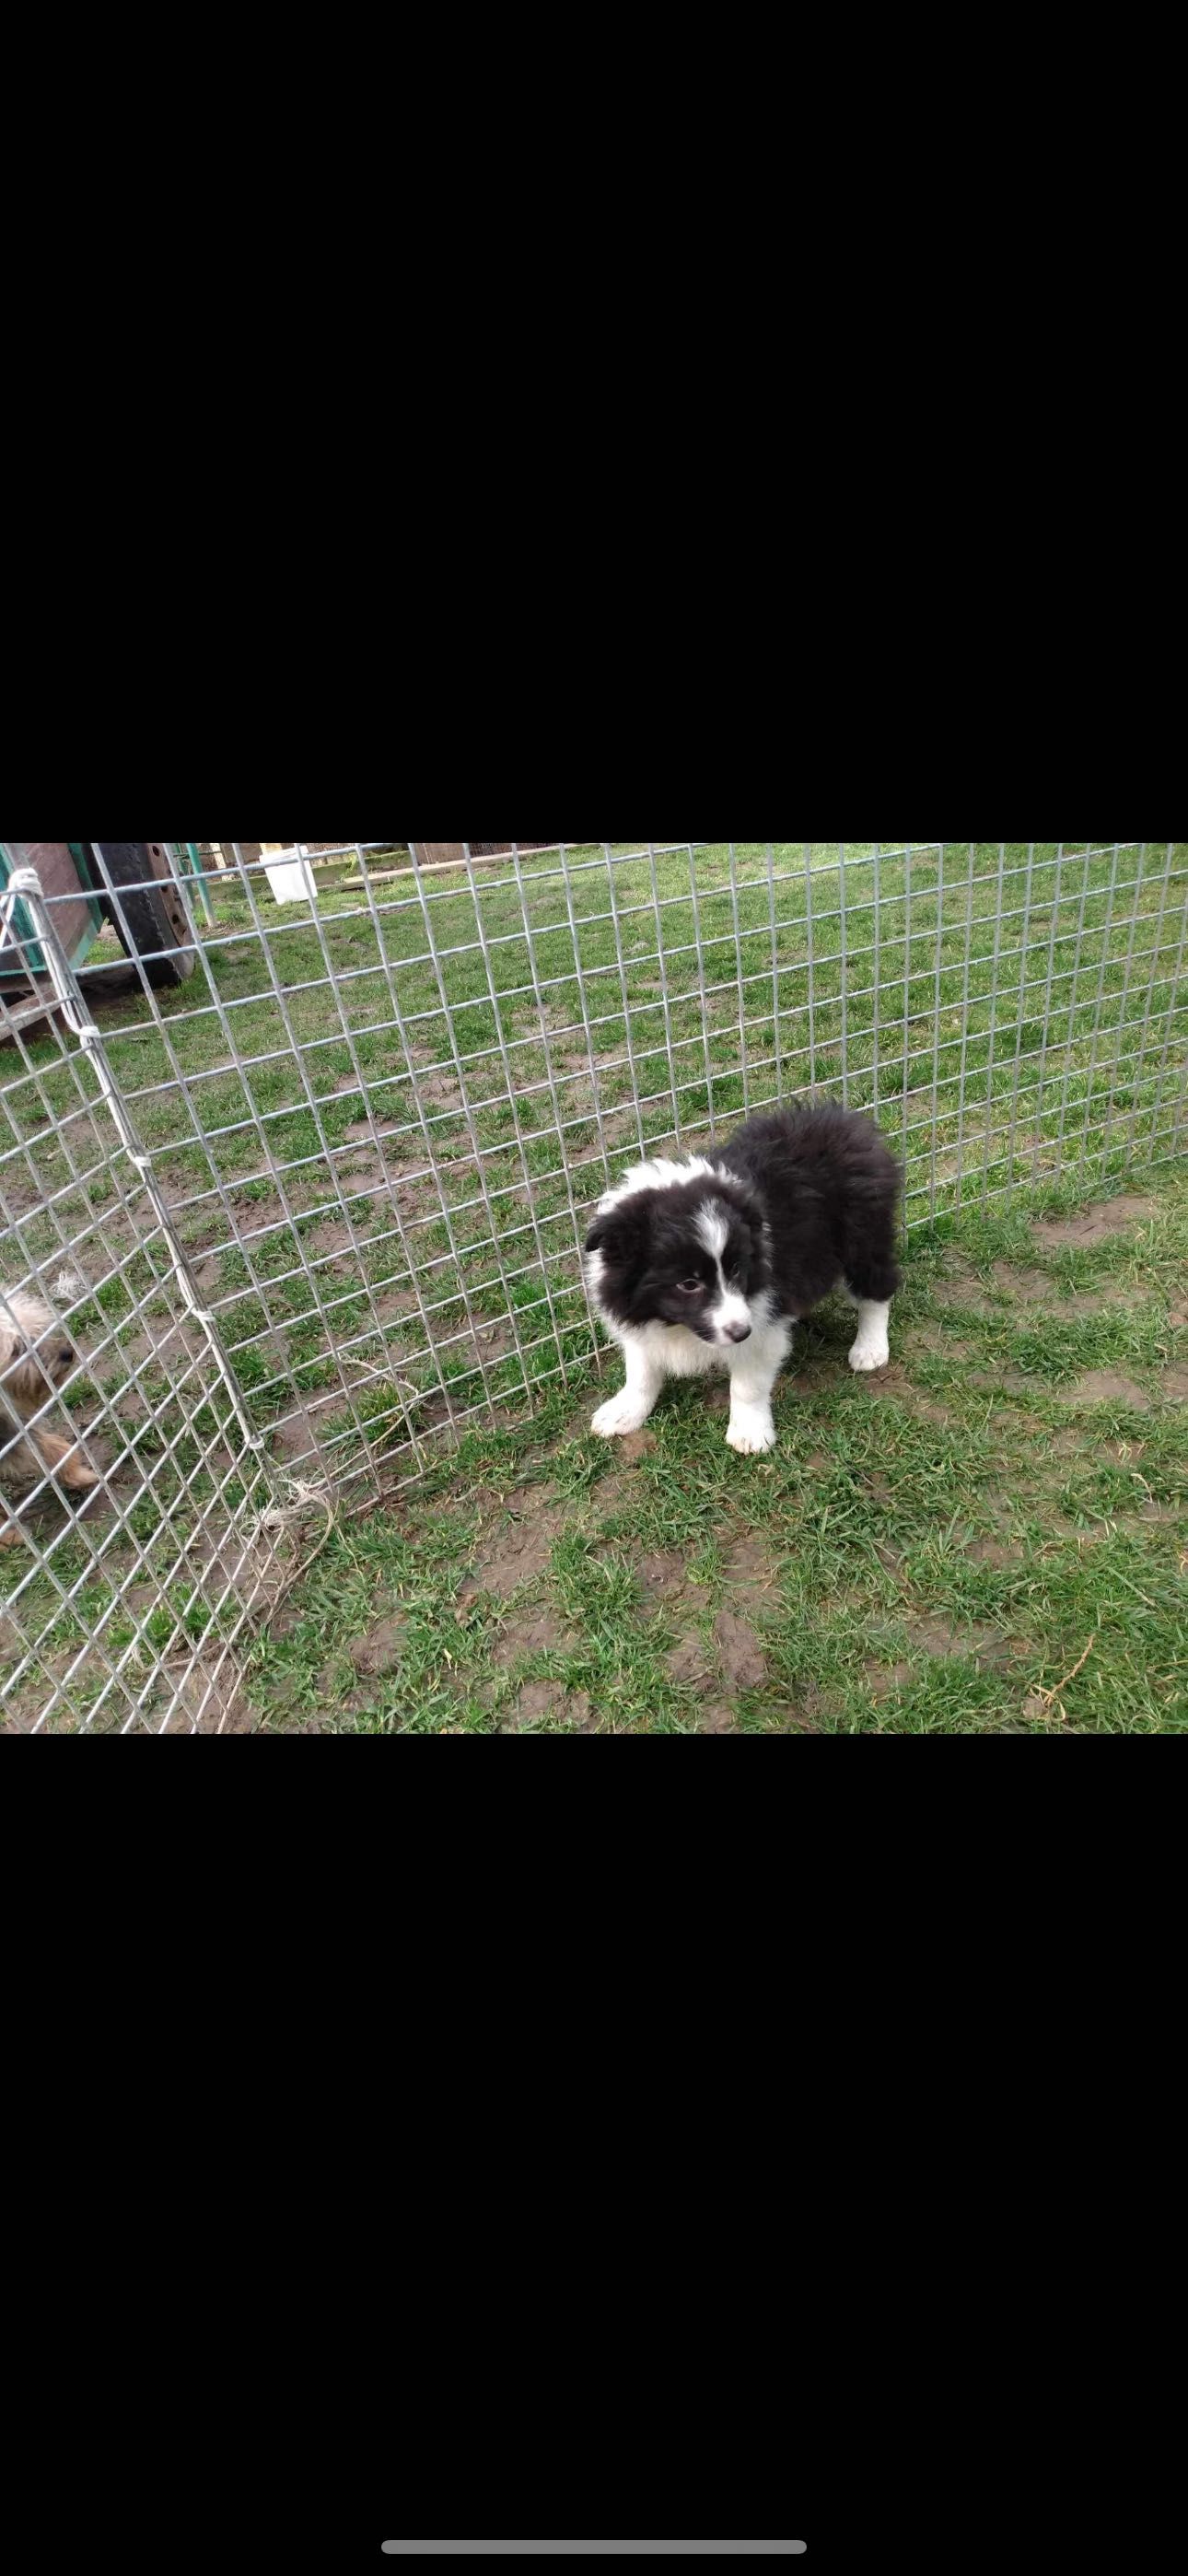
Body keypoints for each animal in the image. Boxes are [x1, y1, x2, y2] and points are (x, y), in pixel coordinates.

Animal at [582, 1107, 896, 1463]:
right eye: (688, 1284)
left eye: (736, 1270)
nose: (740, 1332)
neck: (676, 1325)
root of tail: (842, 1118)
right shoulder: (637, 1315)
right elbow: (640, 1369)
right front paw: (623, 1412)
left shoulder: (762, 1318)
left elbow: (748, 1383)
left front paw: (749, 1432)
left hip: (863, 1233)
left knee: (877, 1289)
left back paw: (870, 1349)